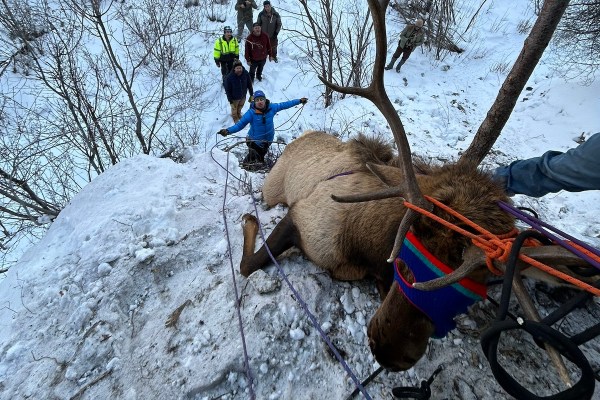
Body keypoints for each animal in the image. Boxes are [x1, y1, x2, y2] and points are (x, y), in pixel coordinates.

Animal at [239, 0, 592, 378]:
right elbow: (248, 265)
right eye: (406, 256)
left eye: (477, 286)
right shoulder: (303, 218)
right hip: (272, 189)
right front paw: (249, 222)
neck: (365, 244)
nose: (389, 351)